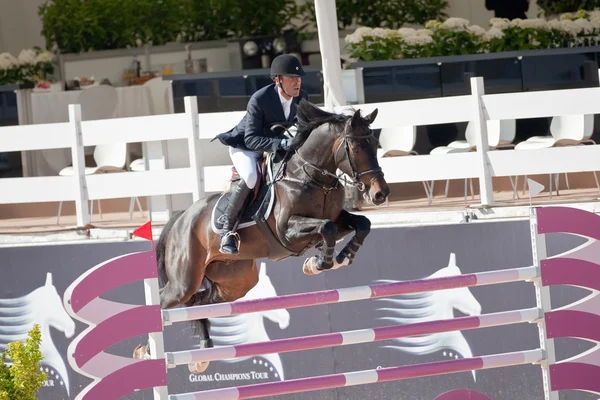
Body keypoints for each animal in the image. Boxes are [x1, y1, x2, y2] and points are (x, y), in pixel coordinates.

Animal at [134, 99, 392, 372]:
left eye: (374, 144)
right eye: (355, 147)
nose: (380, 193)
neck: (311, 177)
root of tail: (181, 218)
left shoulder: (336, 218)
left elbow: (361, 224)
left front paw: (338, 258)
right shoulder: (287, 232)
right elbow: (326, 228)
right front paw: (319, 263)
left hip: (237, 281)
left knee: (199, 303)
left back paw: (201, 355)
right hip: (184, 280)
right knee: (170, 300)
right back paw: (145, 352)